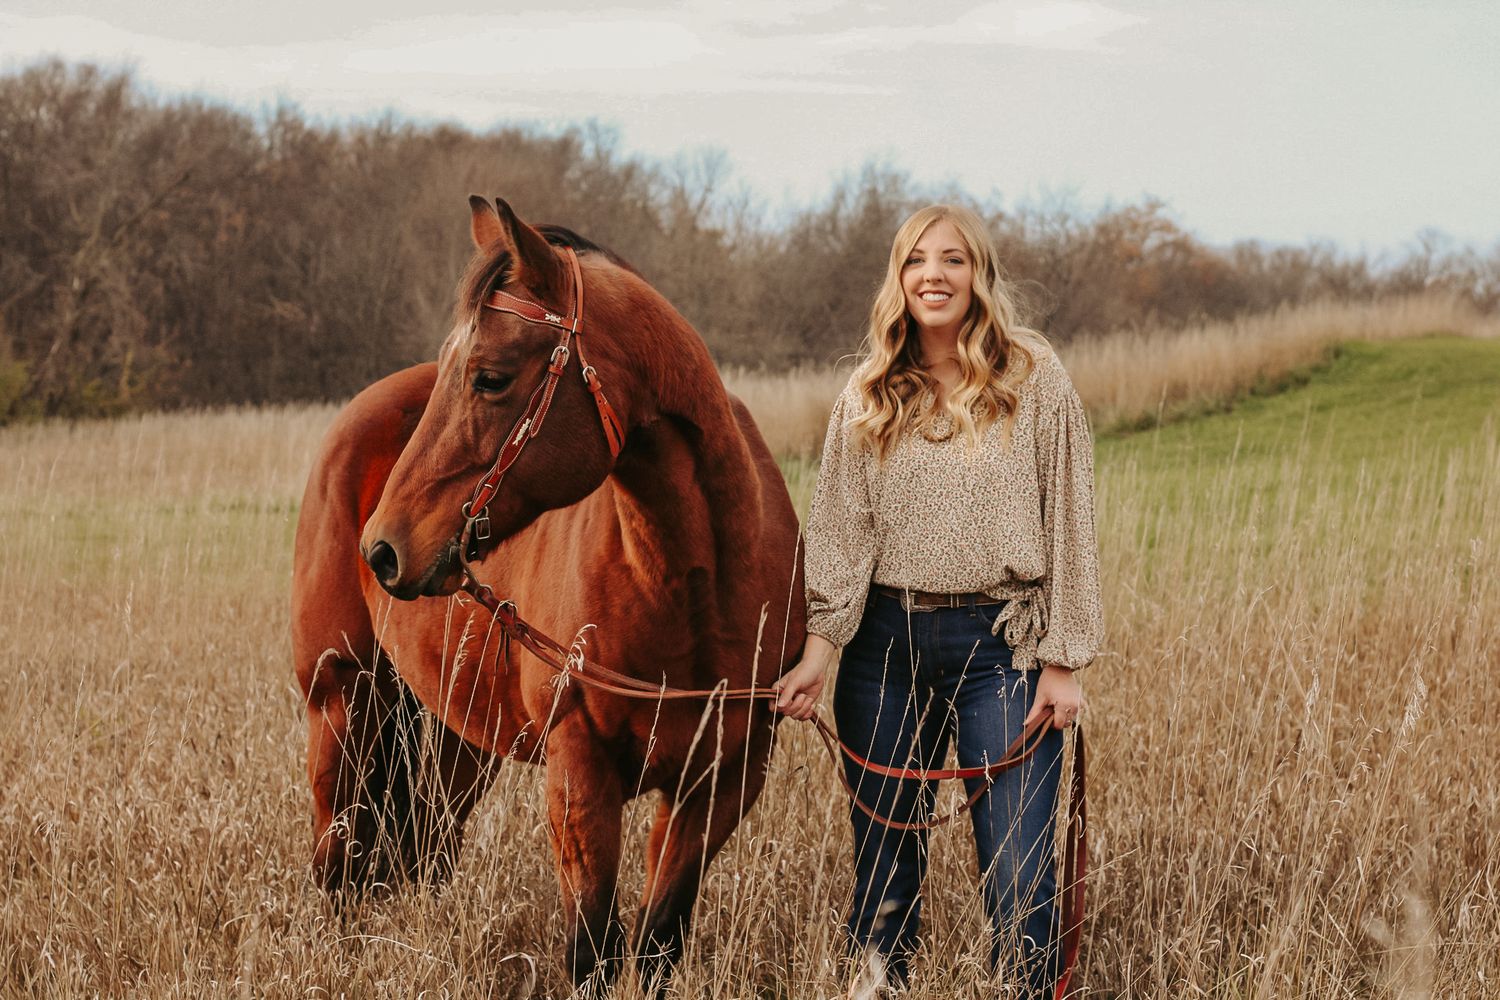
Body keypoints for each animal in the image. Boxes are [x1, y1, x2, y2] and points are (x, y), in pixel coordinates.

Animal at [290, 196, 806, 993]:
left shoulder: (720, 783)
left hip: (458, 737)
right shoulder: (578, 774)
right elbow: (591, 950)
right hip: (340, 702)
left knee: (421, 849)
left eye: (490, 378)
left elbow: (658, 941)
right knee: (337, 861)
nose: (382, 550)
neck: (693, 586)